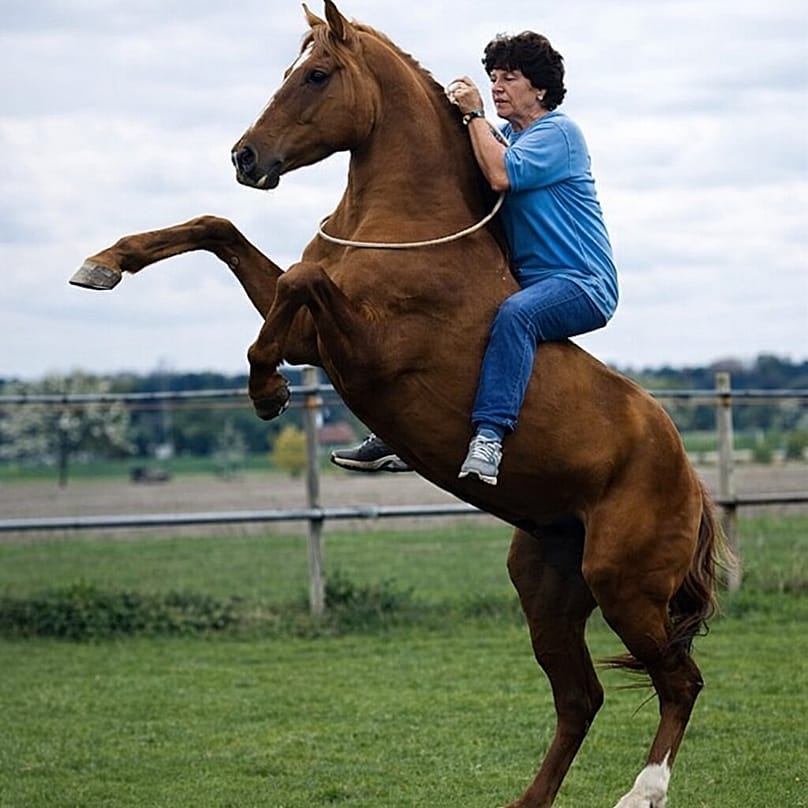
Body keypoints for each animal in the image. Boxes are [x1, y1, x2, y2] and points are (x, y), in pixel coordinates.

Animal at [69, 3, 727, 806]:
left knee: (680, 682)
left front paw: (267, 387)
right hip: (547, 584)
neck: (407, 227)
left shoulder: (361, 349)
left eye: (318, 75)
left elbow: (297, 284)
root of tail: (688, 477)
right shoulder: (317, 336)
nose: (245, 158)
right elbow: (221, 232)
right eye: (288, 70)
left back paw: (643, 790)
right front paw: (104, 263)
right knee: (581, 698)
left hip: (624, 586)